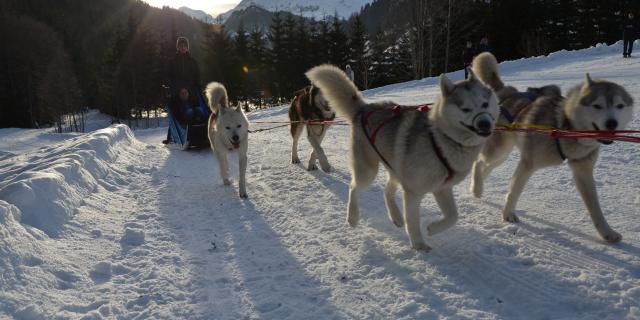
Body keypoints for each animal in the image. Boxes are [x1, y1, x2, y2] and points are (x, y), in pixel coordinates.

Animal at [308, 64, 500, 250]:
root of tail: (364, 109)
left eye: (485, 104)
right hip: (368, 171)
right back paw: (353, 217)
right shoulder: (413, 192)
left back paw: (396, 216)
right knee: (353, 187)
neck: (440, 139)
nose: (485, 123)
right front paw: (418, 244)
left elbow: (453, 216)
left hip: (395, 168)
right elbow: (413, 222)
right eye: (465, 108)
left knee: (387, 191)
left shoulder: (441, 188)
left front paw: (432, 228)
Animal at [470, 52, 636, 242]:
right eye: (597, 105)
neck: (564, 126)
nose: (612, 123)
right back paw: (476, 188)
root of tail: (504, 90)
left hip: (502, 155)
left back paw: (478, 185)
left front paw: (607, 233)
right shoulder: (527, 164)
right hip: (498, 149)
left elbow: (596, 209)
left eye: (620, 105)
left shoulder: (583, 171)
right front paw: (508, 214)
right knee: (478, 163)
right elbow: (514, 191)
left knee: (486, 167)